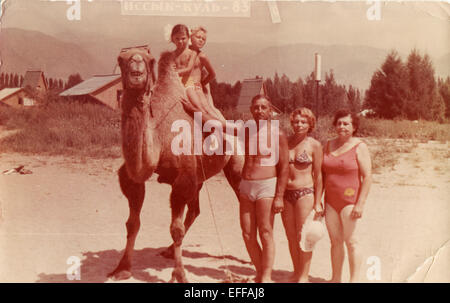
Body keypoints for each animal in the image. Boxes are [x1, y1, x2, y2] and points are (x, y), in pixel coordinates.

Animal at [107, 46, 244, 284]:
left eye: (149, 60)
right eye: (121, 59)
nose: (136, 72)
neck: (160, 137)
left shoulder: (184, 177)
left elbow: (176, 229)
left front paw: (180, 275)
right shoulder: (133, 179)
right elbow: (132, 223)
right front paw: (122, 268)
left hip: (235, 166)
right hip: (200, 176)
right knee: (195, 209)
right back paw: (170, 250)